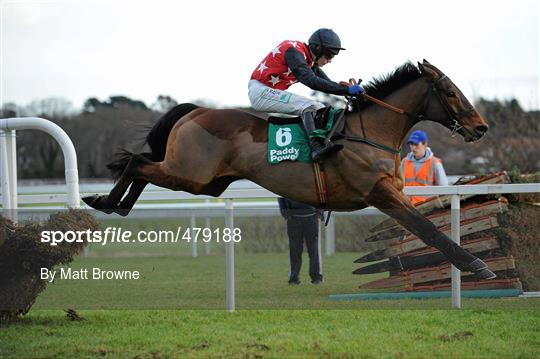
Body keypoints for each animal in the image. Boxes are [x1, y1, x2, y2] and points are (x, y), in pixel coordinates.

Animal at [85, 60, 498, 282]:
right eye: (449, 92)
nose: (480, 127)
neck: (371, 133)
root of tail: (195, 110)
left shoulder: (395, 191)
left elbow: (425, 225)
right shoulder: (380, 192)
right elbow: (428, 229)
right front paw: (478, 265)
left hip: (203, 181)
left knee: (142, 166)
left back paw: (114, 204)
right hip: (190, 173)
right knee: (137, 163)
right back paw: (105, 201)